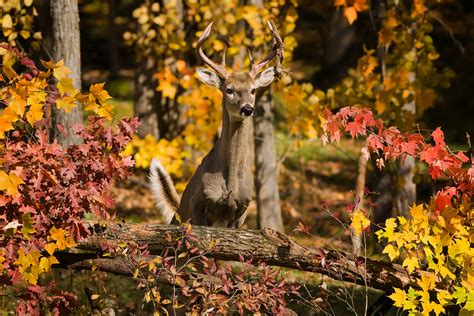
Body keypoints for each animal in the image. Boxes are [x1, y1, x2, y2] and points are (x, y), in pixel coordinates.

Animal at [150, 19, 284, 227]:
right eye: (229, 90)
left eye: (253, 90)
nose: (247, 109)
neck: (230, 184)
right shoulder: (198, 204)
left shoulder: (242, 211)